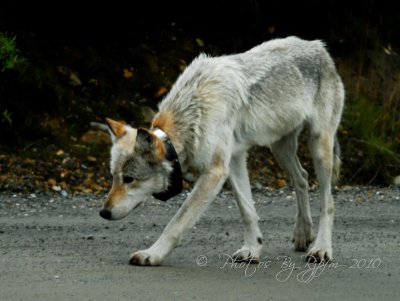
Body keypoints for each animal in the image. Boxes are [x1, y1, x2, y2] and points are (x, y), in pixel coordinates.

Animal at [99, 37, 344, 264]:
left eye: (129, 179)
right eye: (113, 178)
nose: (103, 212)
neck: (192, 113)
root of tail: (319, 46)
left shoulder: (215, 172)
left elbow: (176, 222)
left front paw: (152, 254)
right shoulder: (234, 160)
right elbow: (247, 210)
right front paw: (252, 250)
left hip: (319, 147)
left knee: (328, 202)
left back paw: (321, 249)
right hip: (279, 148)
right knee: (302, 177)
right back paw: (303, 233)